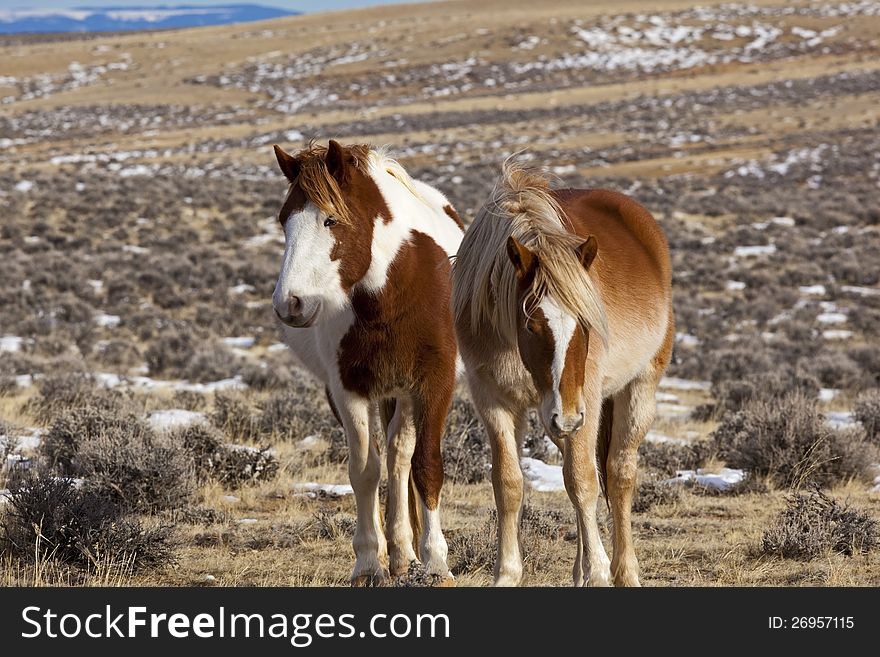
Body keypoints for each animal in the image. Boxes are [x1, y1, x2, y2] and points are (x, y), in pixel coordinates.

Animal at [272, 138, 464, 584]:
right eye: (285, 221)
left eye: (330, 220)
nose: (290, 304)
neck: (390, 294)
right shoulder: (347, 390)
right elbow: (364, 473)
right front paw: (367, 564)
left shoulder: (433, 383)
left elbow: (426, 465)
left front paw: (436, 561)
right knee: (387, 461)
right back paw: (396, 555)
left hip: (405, 394)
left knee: (401, 457)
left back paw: (407, 555)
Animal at [454, 161, 672, 588]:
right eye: (531, 324)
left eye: (586, 324)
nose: (569, 416)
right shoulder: (493, 399)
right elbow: (509, 483)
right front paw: (507, 574)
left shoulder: (583, 400)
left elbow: (584, 481)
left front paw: (599, 571)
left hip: (633, 391)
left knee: (618, 475)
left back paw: (624, 571)